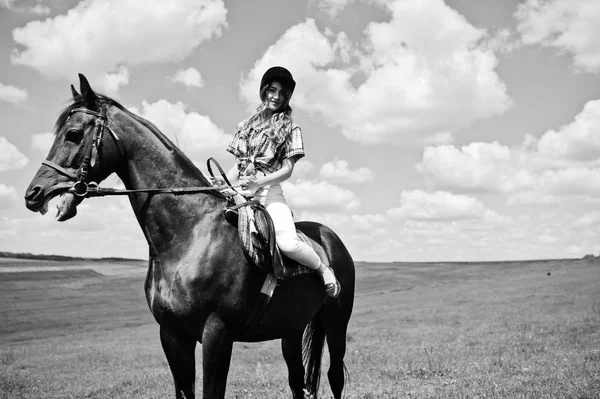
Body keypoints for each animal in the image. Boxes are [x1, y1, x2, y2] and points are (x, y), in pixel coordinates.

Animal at [24, 75, 356, 399]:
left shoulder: (216, 334)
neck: (189, 236)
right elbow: (185, 390)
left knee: (334, 377)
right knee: (297, 381)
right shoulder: (172, 334)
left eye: (73, 134)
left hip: (336, 324)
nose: (33, 193)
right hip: (291, 329)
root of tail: (332, 239)